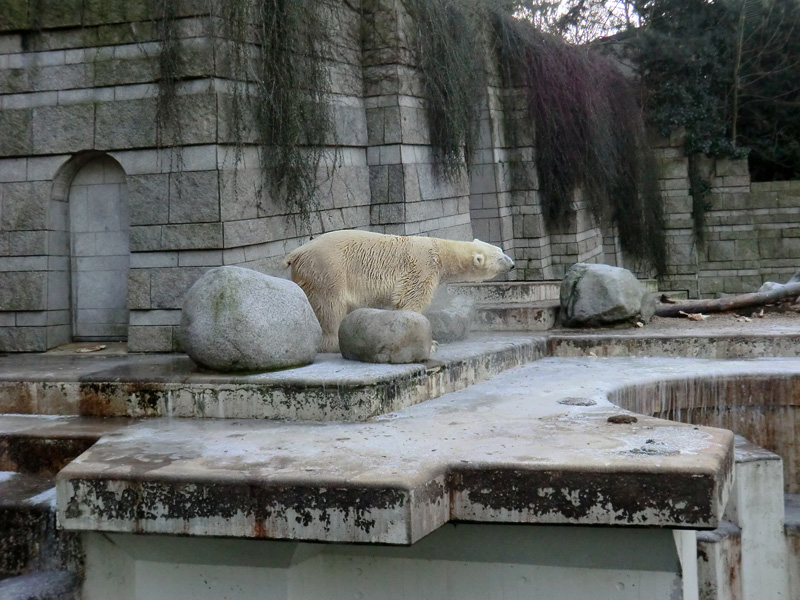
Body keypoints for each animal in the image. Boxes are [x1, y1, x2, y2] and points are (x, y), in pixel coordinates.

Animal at [284, 230, 516, 352]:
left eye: (501, 251)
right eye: (500, 257)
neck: (440, 251)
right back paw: (333, 343)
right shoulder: (422, 266)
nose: (513, 264)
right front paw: (430, 343)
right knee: (330, 307)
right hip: (327, 270)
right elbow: (410, 299)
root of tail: (296, 253)